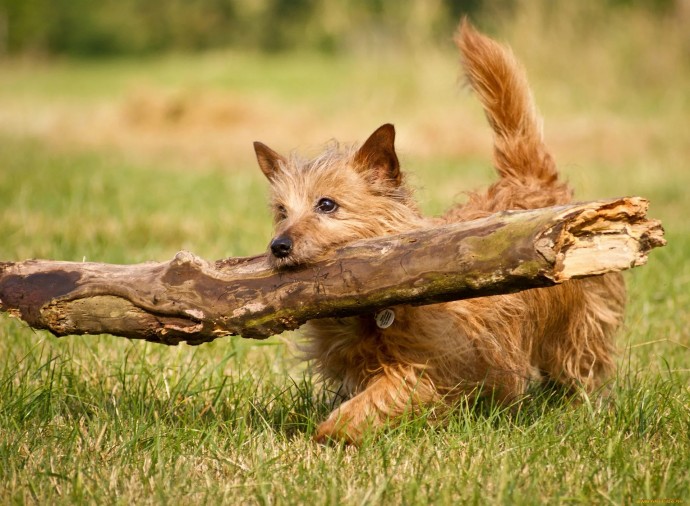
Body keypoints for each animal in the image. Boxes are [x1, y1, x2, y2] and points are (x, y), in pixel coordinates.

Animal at [251, 21, 624, 444]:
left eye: (327, 205)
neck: (366, 314)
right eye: (281, 212)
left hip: (578, 326)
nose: (279, 246)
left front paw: (335, 430)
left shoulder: (432, 367)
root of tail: (531, 180)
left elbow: (386, 392)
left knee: (582, 365)